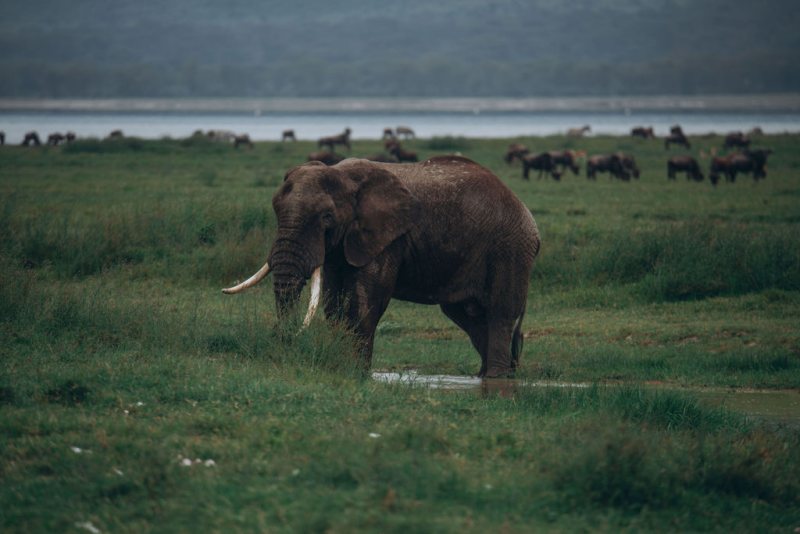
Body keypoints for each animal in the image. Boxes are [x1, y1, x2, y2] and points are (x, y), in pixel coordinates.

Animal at [222, 156, 541, 378]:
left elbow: (365, 299)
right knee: (470, 317)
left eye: (326, 218)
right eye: (276, 209)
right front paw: (340, 365)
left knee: (500, 312)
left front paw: (355, 372)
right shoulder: (343, 245)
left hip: (509, 248)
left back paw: (496, 378)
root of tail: (526, 212)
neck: (344, 175)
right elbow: (333, 300)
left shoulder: (387, 237)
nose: (282, 338)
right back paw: (489, 375)